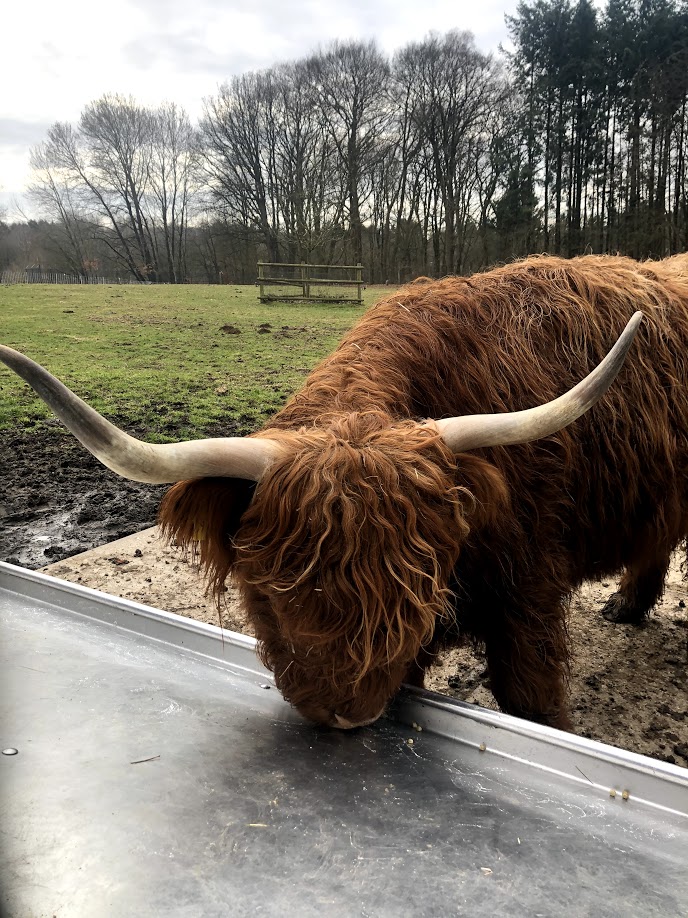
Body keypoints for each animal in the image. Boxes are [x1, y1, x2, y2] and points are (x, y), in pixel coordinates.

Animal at [2, 254, 686, 733]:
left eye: (417, 586)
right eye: (274, 591)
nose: (347, 713)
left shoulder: (527, 591)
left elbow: (532, 701)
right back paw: (627, 605)